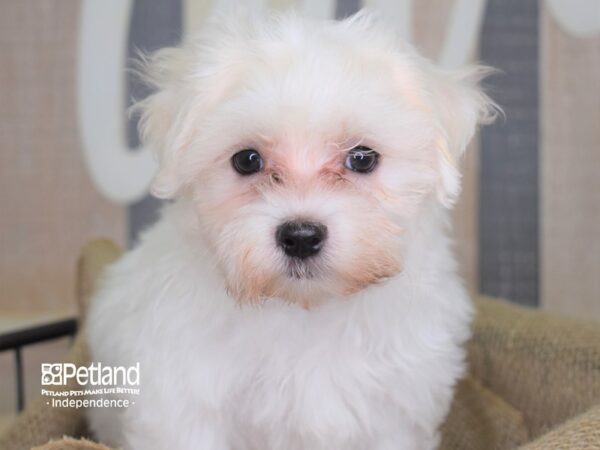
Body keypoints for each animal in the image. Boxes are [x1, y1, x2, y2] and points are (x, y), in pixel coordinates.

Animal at [85, 10, 496, 450]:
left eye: (362, 158)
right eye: (247, 160)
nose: (301, 237)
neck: (306, 310)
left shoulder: (395, 414)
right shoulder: (184, 403)